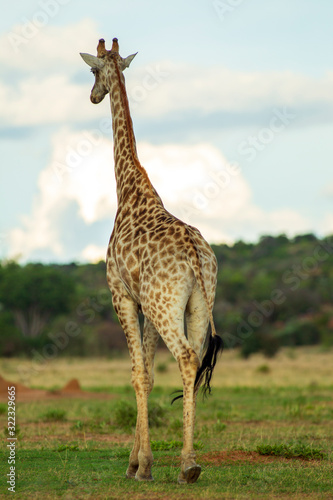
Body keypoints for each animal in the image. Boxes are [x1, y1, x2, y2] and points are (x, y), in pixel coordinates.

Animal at [79, 38, 222, 484]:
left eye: (93, 71)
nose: (93, 96)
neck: (128, 189)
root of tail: (195, 255)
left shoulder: (122, 295)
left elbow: (138, 374)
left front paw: (139, 465)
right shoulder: (146, 303)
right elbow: (151, 373)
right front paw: (141, 460)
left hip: (164, 305)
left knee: (187, 358)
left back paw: (187, 466)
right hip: (195, 304)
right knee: (193, 362)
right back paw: (189, 463)